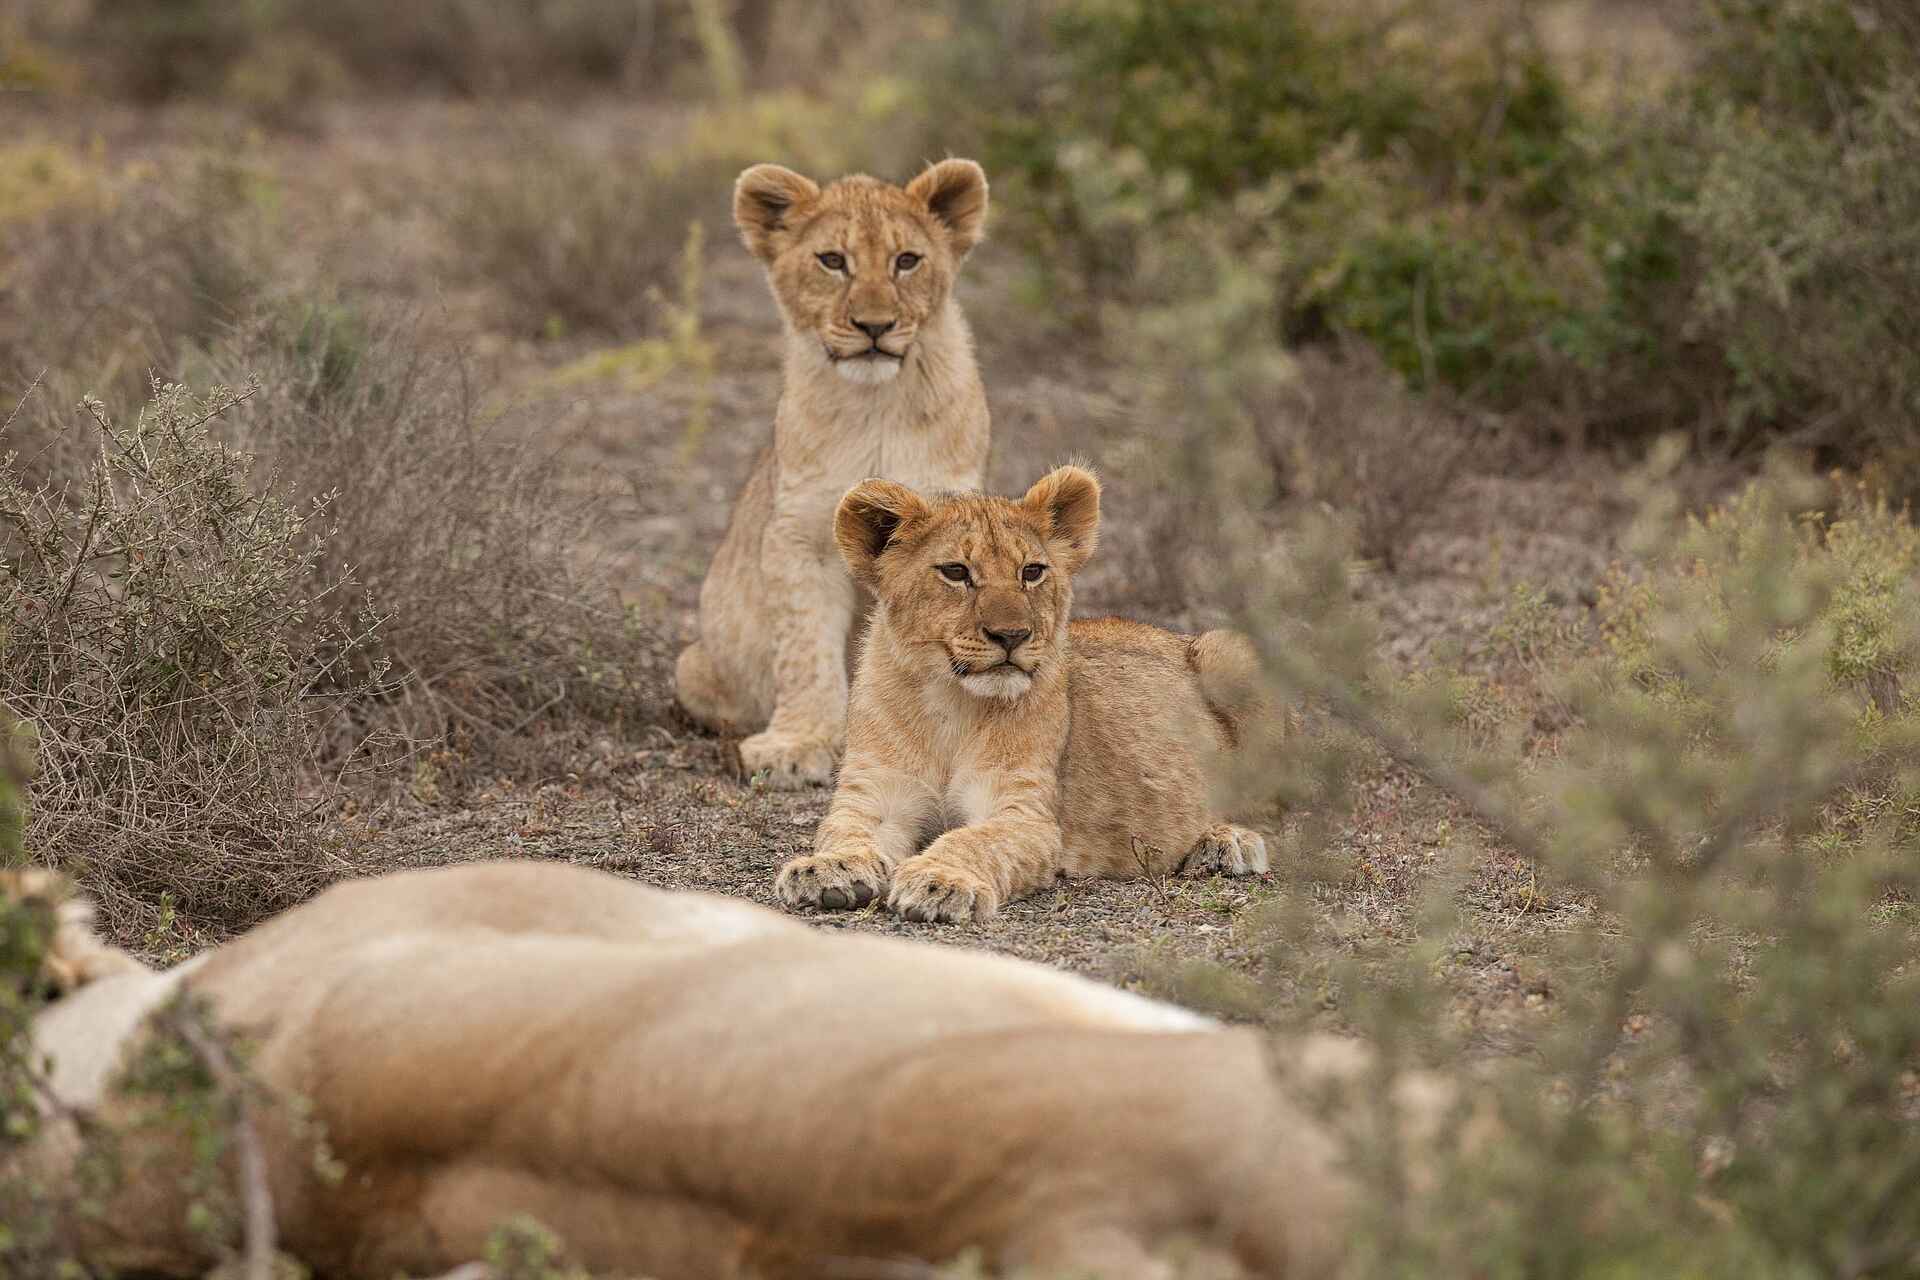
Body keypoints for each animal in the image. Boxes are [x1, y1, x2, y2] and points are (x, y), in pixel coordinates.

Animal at [674, 158, 993, 789]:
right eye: (832, 260)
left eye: (906, 260)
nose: (874, 325)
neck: (876, 405)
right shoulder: (799, 535)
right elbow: (806, 649)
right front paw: (798, 746)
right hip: (691, 665)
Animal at [774, 465, 1277, 924]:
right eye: (956, 572)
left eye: (1031, 572)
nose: (1011, 635)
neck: (951, 703)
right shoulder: (876, 794)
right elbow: (846, 831)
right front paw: (829, 870)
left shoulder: (1025, 814)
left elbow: (973, 840)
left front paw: (940, 882)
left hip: (1229, 652)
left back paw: (1225, 843)